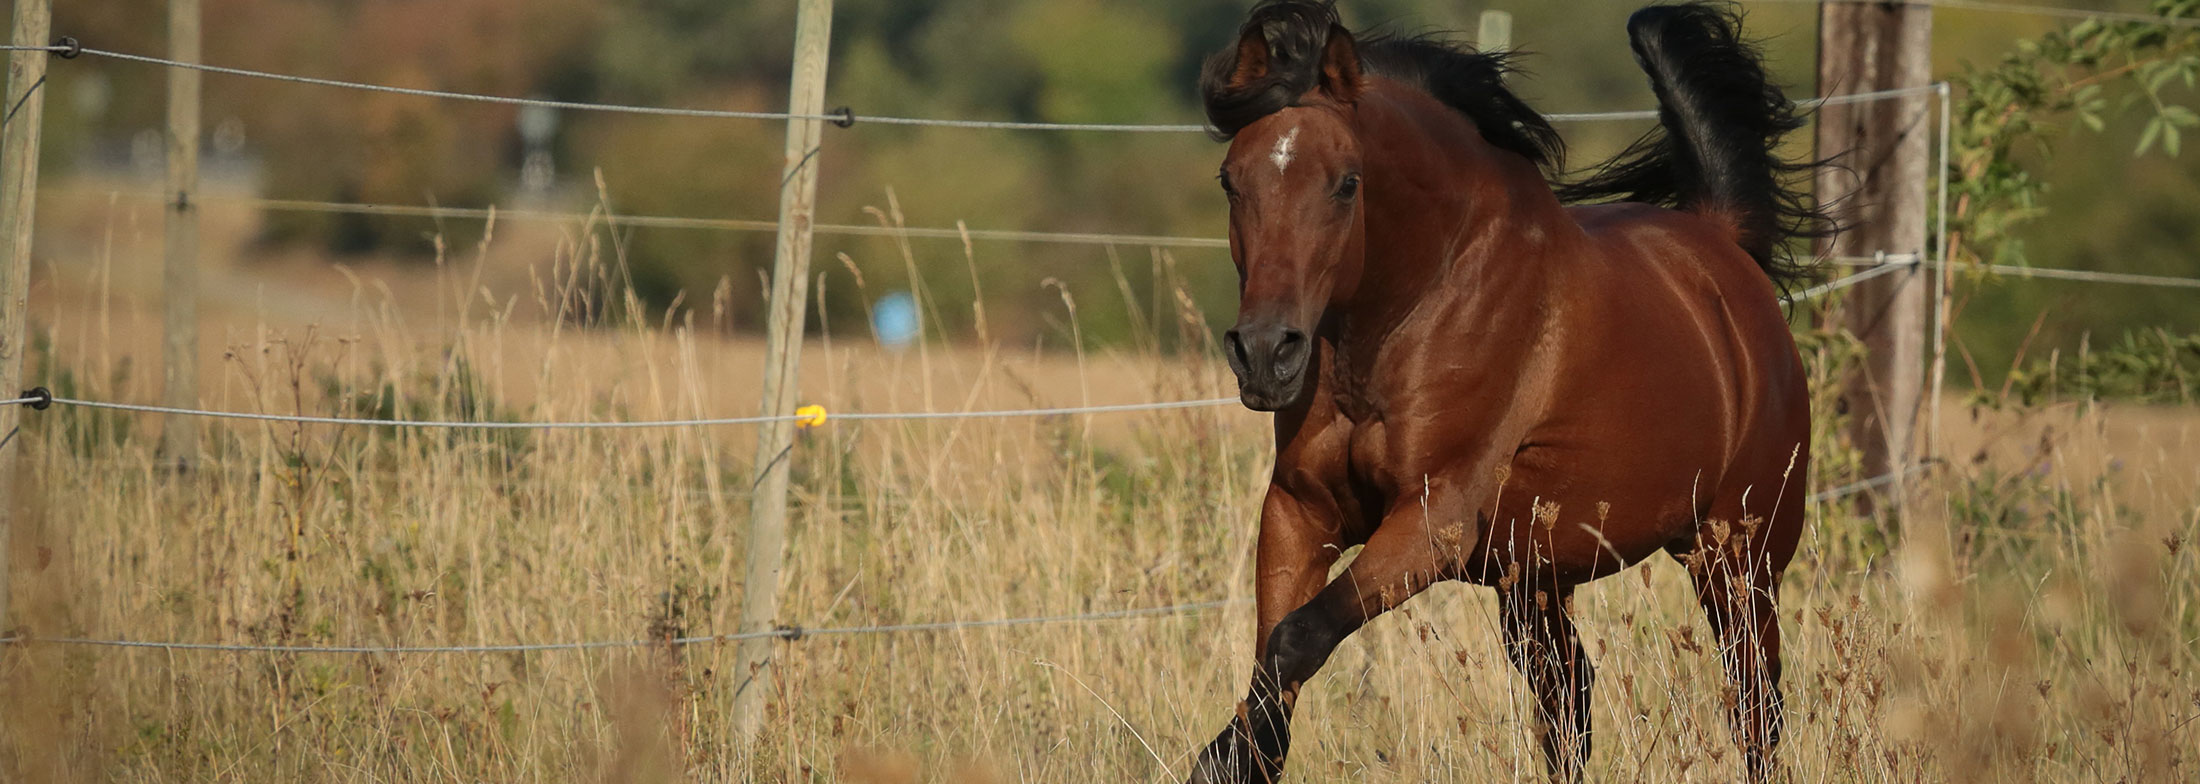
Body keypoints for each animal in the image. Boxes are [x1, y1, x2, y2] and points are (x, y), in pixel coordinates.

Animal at [1188, 3, 1821, 779]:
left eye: (1346, 182)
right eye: (1230, 180)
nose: (1265, 354)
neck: (1415, 307)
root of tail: (1722, 248)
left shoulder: (1431, 522)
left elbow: (1294, 642)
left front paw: (1221, 755)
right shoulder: (1300, 511)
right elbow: (1270, 661)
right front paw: (1231, 756)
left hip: (1738, 556)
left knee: (1755, 706)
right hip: (1537, 578)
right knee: (1570, 698)